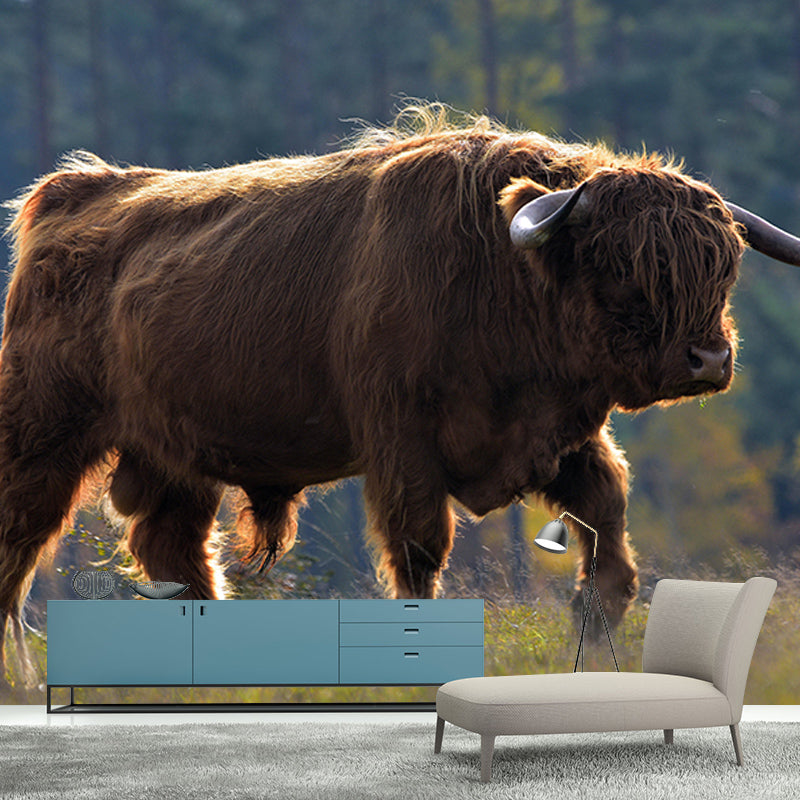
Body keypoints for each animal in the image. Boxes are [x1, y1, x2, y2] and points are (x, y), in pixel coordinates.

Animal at [2, 106, 800, 686]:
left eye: (723, 264)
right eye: (625, 262)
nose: (708, 358)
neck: (502, 271)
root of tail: (70, 195)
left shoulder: (564, 440)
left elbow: (610, 535)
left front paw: (593, 632)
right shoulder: (403, 446)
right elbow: (420, 551)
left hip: (176, 463)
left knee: (175, 553)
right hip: (44, 440)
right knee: (21, 548)